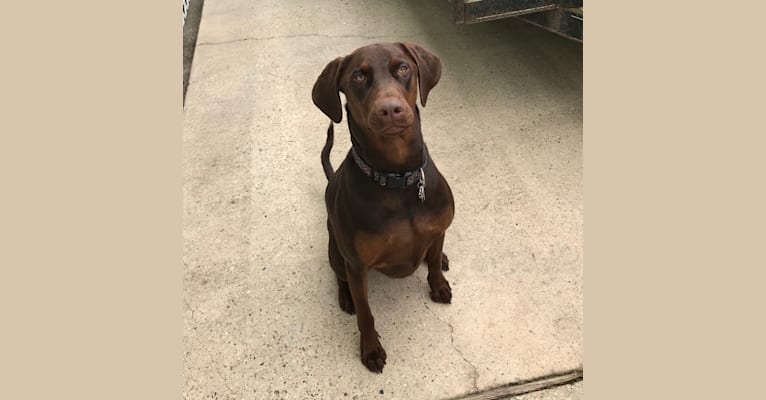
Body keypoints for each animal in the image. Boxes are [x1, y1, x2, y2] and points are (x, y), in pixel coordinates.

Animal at [314, 43, 456, 372]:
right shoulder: (356, 264)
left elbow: (433, 260)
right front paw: (371, 349)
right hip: (336, 250)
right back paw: (345, 297)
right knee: (339, 274)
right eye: (358, 76)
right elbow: (366, 312)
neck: (397, 179)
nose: (390, 109)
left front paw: (438, 283)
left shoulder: (439, 226)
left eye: (402, 68)